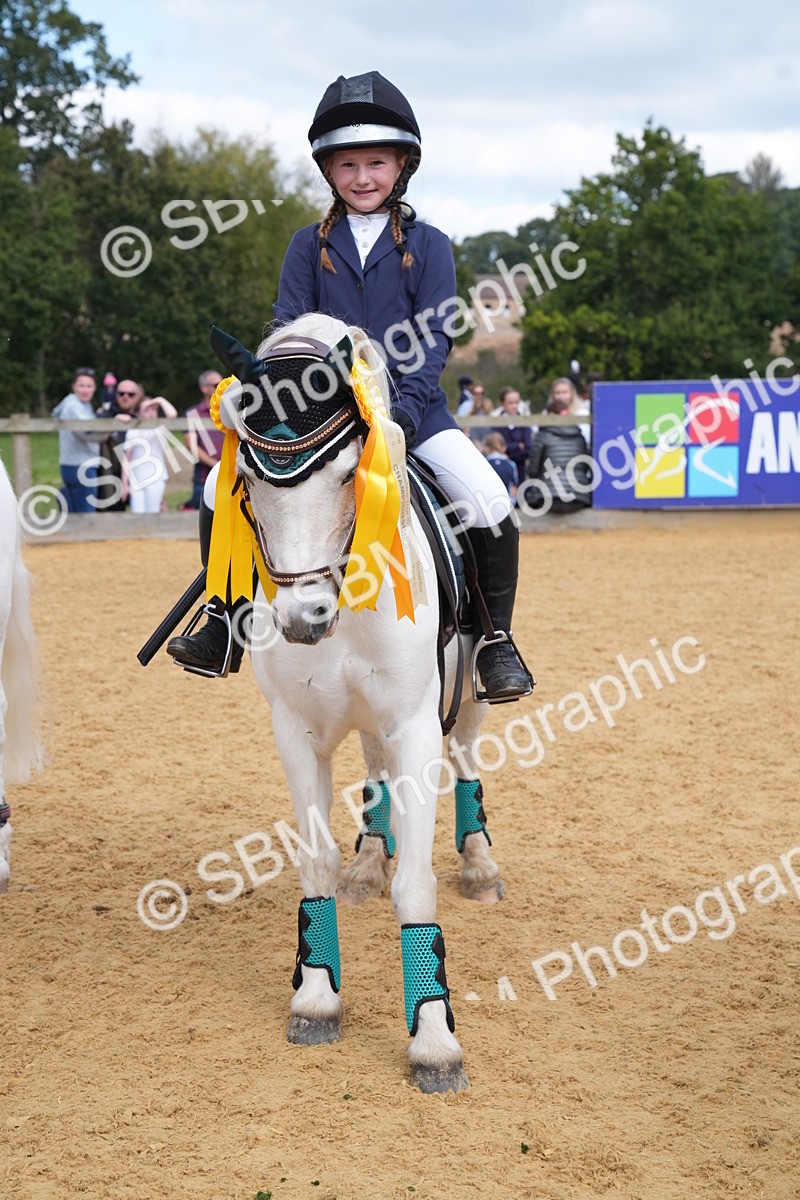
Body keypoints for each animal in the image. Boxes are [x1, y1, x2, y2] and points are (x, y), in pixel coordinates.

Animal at [212, 312, 506, 1092]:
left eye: (349, 472)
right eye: (246, 478)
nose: (303, 619)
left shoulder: (415, 726)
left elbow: (417, 885)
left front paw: (434, 1041)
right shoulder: (295, 731)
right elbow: (313, 861)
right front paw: (315, 998)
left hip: (468, 697)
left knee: (467, 762)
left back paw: (479, 865)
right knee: (374, 776)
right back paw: (369, 861)